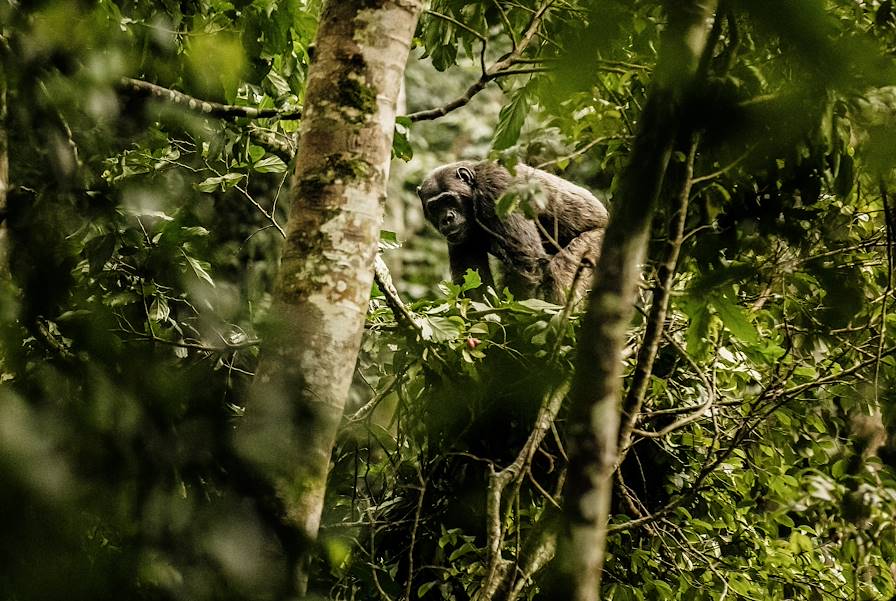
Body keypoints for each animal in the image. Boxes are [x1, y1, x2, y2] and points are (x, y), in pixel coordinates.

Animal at [420, 161, 608, 302]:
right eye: (435, 207)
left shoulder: (498, 190)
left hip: (596, 242)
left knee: (562, 270)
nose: (447, 218)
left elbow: (525, 262)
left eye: (448, 199)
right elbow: (472, 277)